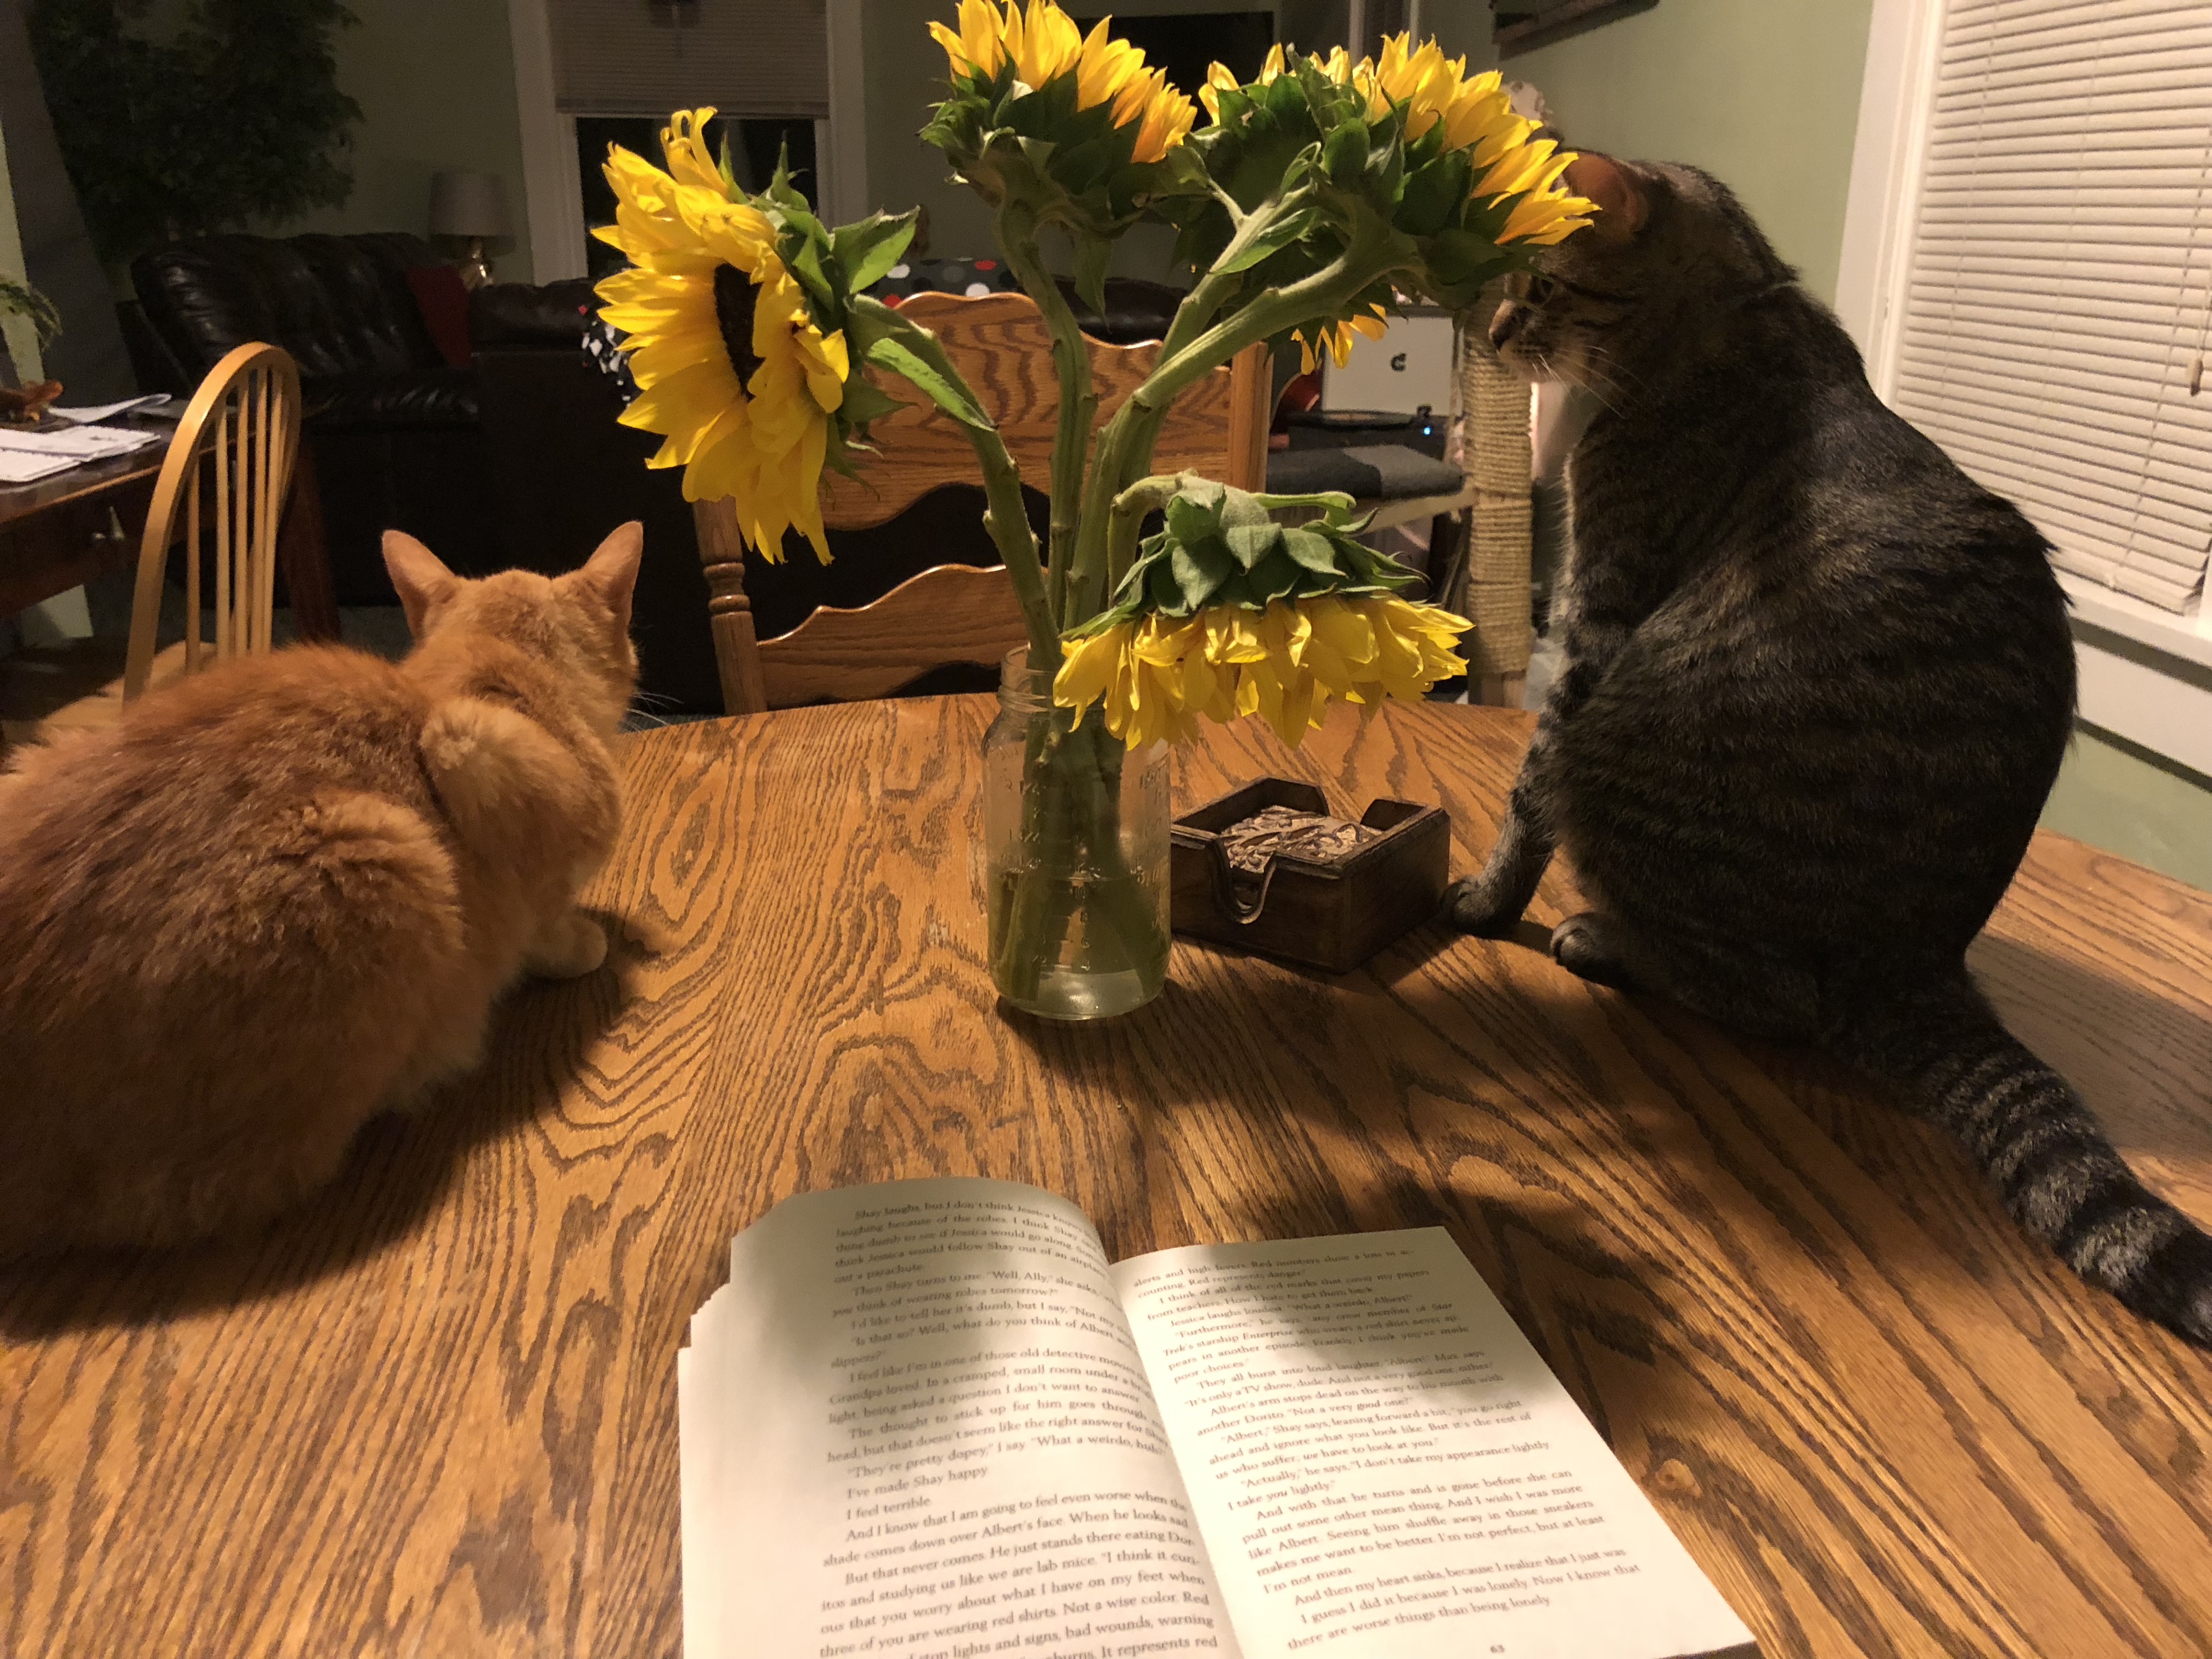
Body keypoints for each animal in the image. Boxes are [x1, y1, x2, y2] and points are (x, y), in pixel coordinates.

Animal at [1451, 153, 2212, 1353]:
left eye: (1540, 283)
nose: (1486, 329)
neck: (1733, 311)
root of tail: (1921, 961)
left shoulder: (1596, 626)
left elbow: (1523, 799)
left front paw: (1484, 903)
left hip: (1620, 757)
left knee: (1775, 1001)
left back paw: (1605, 939)